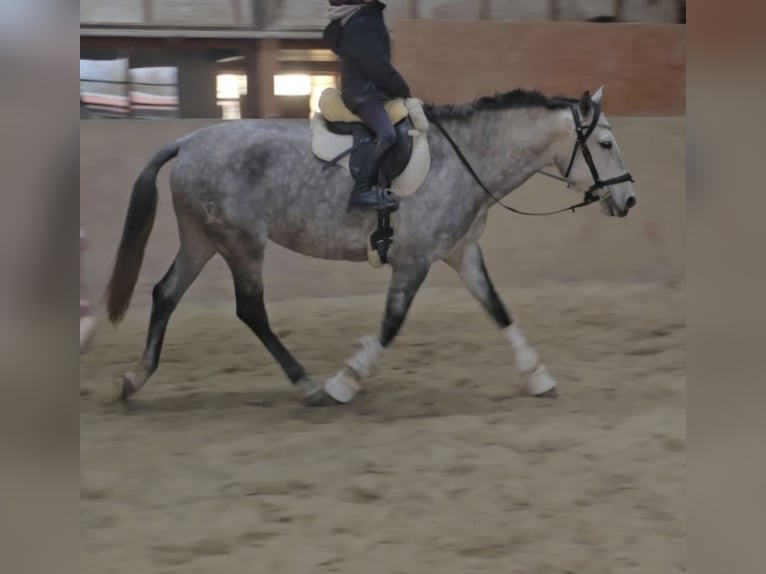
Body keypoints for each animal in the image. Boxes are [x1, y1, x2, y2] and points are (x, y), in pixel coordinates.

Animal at [105, 86, 640, 410]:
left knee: (165, 295)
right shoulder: (414, 259)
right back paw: (309, 385)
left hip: (202, 239)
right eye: (606, 144)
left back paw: (135, 378)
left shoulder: (461, 253)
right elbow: (391, 323)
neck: (465, 160)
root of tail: (190, 140)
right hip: (241, 243)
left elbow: (499, 311)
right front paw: (346, 381)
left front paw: (537, 376)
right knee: (250, 310)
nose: (629, 200)